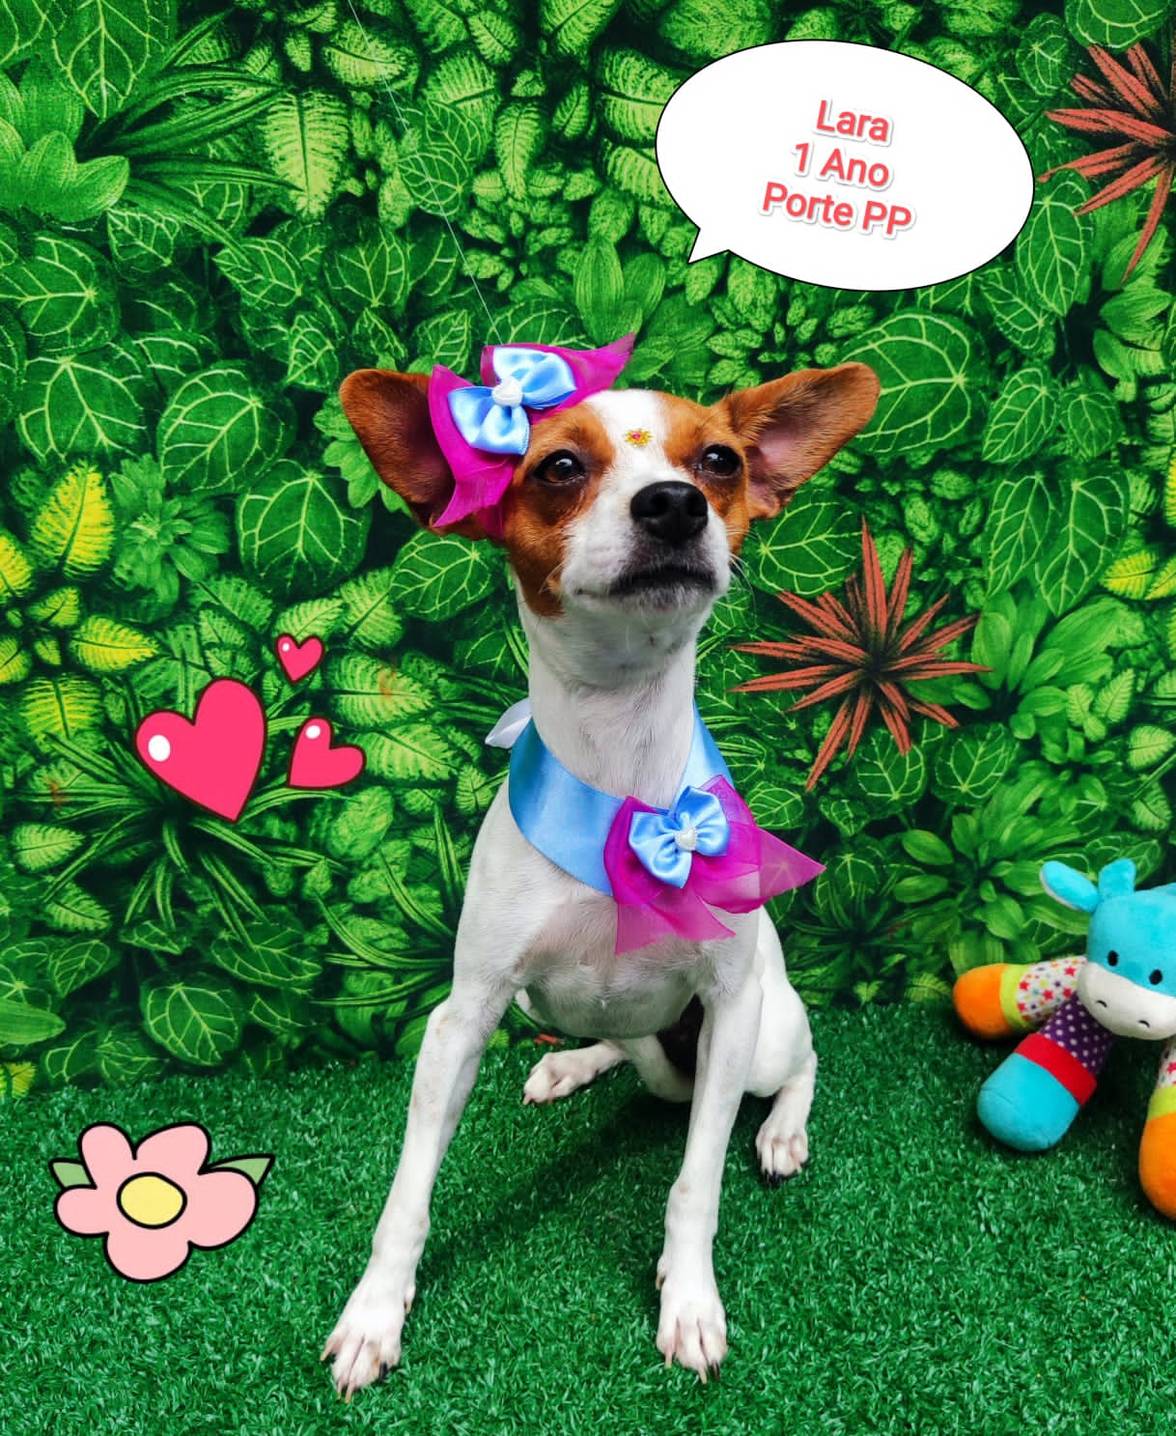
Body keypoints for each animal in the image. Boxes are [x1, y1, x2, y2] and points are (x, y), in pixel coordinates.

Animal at [322, 343, 879, 1396]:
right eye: (559, 468)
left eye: (719, 460)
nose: (673, 505)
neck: (621, 771)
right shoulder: (462, 1020)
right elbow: (407, 1194)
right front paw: (376, 1312)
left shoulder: (731, 1006)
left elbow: (695, 1187)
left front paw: (689, 1302)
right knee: (626, 1051)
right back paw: (572, 1064)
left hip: (761, 1035)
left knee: (803, 1064)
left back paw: (782, 1130)